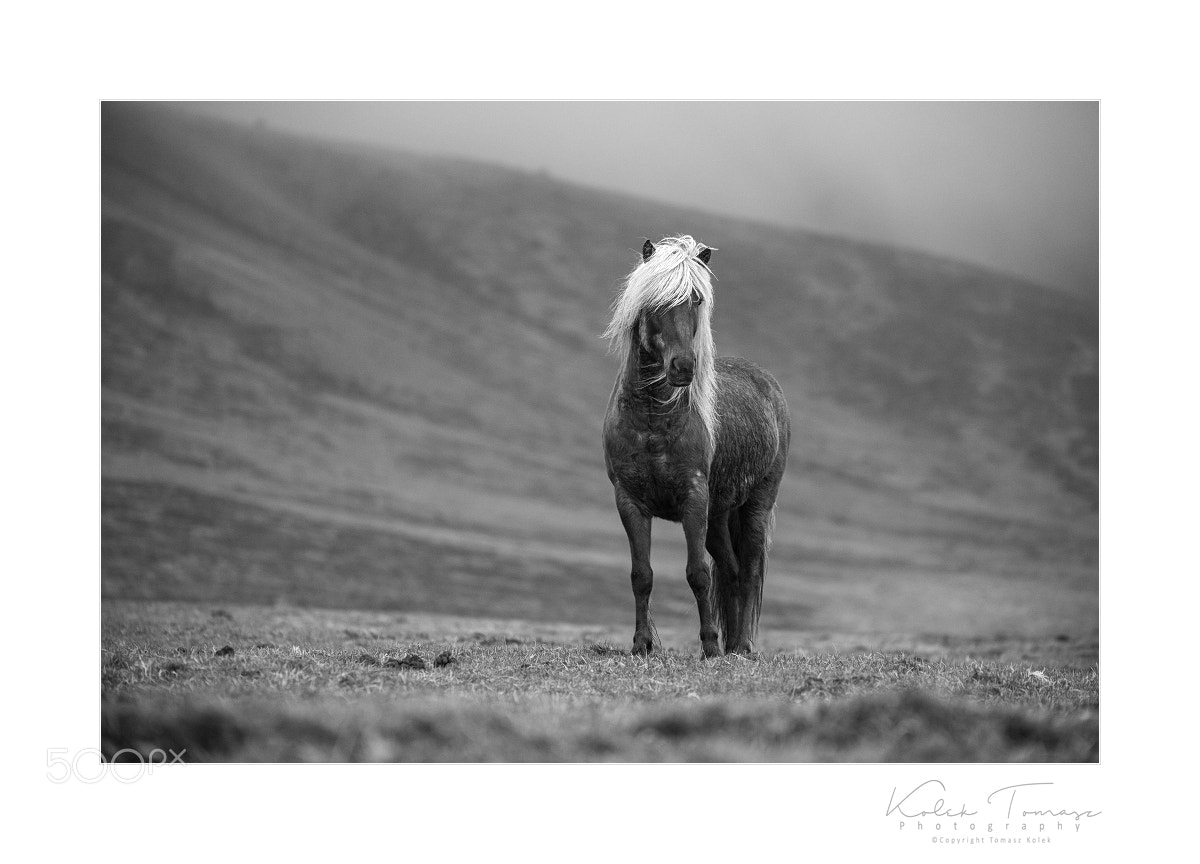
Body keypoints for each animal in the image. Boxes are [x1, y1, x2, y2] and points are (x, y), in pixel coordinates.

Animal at [602, 235, 790, 658]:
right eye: (655, 300)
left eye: (697, 300)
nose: (683, 367)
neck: (653, 422)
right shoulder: (629, 501)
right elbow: (642, 575)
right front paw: (641, 645)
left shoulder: (693, 498)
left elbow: (698, 574)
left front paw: (709, 646)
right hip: (718, 515)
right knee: (732, 571)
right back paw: (733, 642)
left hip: (754, 505)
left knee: (749, 570)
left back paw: (741, 645)